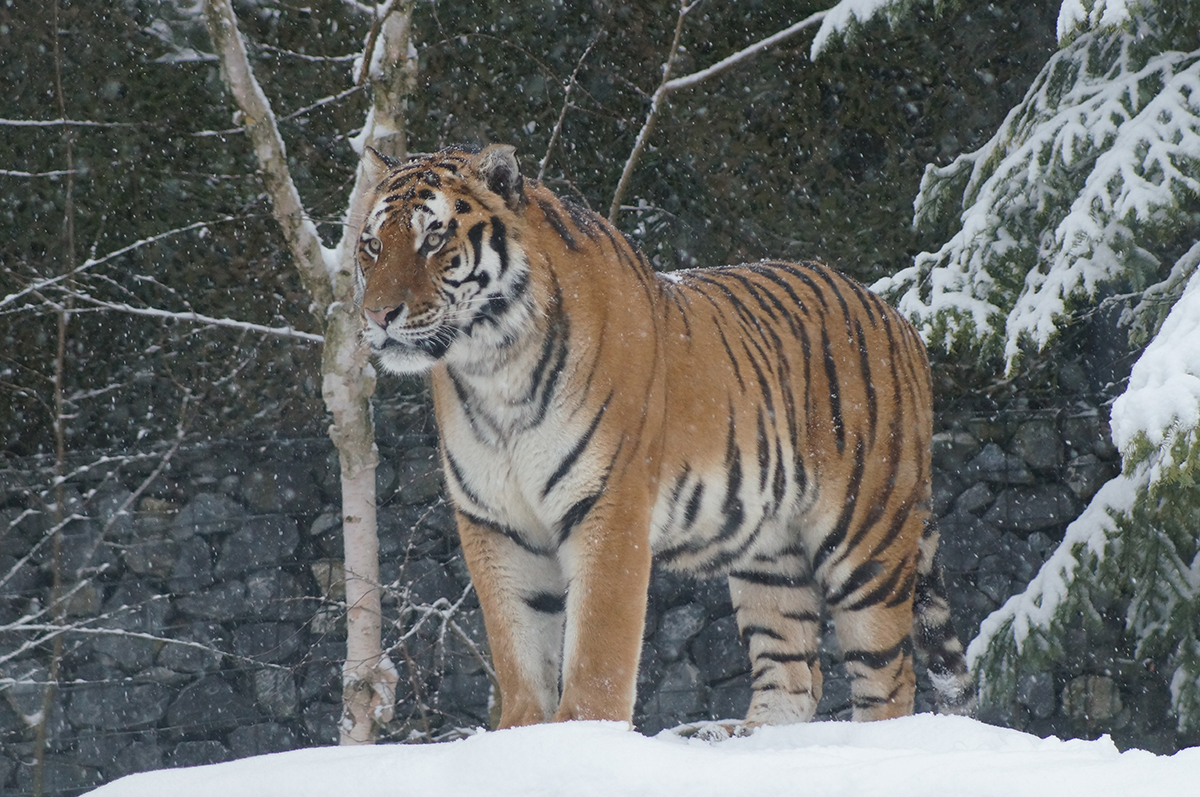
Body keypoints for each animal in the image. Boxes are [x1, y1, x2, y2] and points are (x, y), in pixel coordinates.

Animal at [355, 143, 974, 729]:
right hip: (771, 553)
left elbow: (599, 650)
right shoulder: (495, 521)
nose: (378, 315)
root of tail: (898, 317)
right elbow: (518, 649)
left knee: (889, 678)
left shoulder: (609, 505)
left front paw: (582, 735)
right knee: (795, 669)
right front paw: (524, 735)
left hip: (866, 536)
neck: (493, 367)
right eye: (371, 246)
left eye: (434, 237)